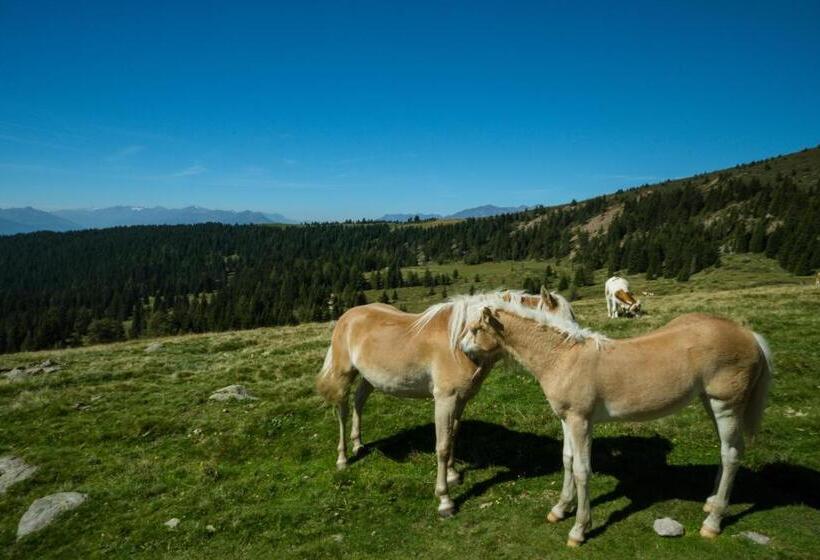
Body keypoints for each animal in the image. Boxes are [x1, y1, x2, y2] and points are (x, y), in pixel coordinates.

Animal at [316, 286, 575, 517]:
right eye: (559, 327)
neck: (460, 343)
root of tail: (348, 316)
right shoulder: (444, 401)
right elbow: (441, 446)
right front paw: (445, 500)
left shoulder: (461, 399)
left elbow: (453, 436)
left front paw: (452, 475)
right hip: (343, 374)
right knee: (342, 411)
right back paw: (343, 458)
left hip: (370, 378)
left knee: (359, 401)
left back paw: (358, 444)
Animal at [459, 303, 772, 546]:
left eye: (475, 329)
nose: (463, 352)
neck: (562, 358)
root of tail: (749, 335)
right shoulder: (566, 420)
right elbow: (567, 460)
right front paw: (560, 509)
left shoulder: (581, 422)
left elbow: (582, 471)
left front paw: (579, 530)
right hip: (710, 403)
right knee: (725, 449)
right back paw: (711, 501)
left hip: (725, 406)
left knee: (731, 455)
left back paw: (713, 522)